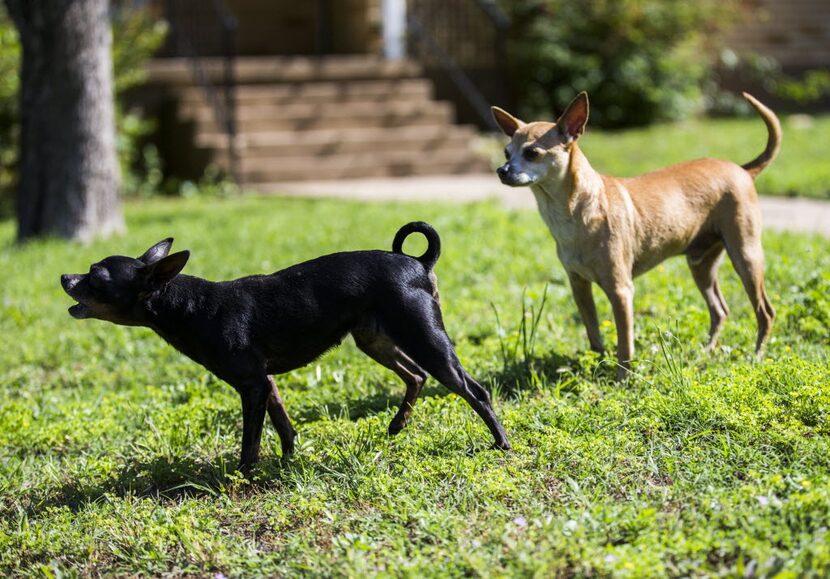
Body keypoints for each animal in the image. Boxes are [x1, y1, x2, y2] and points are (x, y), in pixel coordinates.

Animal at [60, 222, 512, 472]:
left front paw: (243, 475)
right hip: (375, 340)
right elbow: (284, 427)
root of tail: (419, 263)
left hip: (426, 340)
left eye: (96, 277)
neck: (189, 306)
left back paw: (501, 443)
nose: (65, 276)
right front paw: (287, 464)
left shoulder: (252, 386)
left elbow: (251, 439)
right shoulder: (266, 384)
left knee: (475, 391)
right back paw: (397, 425)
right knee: (414, 376)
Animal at [498, 92, 784, 378]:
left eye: (532, 153)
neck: (572, 212)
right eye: (506, 152)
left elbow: (625, 342)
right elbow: (593, 333)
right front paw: (597, 365)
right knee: (720, 310)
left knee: (765, 312)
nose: (502, 170)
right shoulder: (579, 286)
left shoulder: (621, 291)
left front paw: (622, 378)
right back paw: (707, 351)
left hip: (746, 257)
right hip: (701, 265)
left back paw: (757, 357)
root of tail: (742, 169)